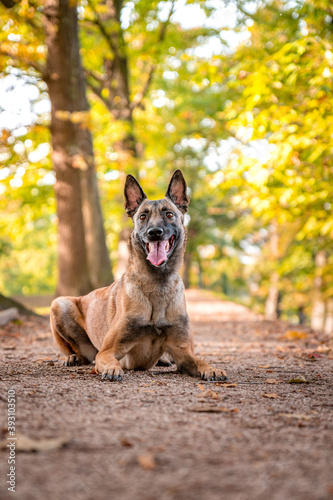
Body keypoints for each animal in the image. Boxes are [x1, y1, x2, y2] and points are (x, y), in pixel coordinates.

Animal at [48, 170, 226, 380]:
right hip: (60, 303)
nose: (154, 232)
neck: (157, 284)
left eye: (169, 214)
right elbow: (110, 360)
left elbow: (200, 361)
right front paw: (112, 369)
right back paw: (72, 357)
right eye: (142, 217)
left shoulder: (183, 353)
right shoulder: (108, 351)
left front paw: (212, 369)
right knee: (80, 353)